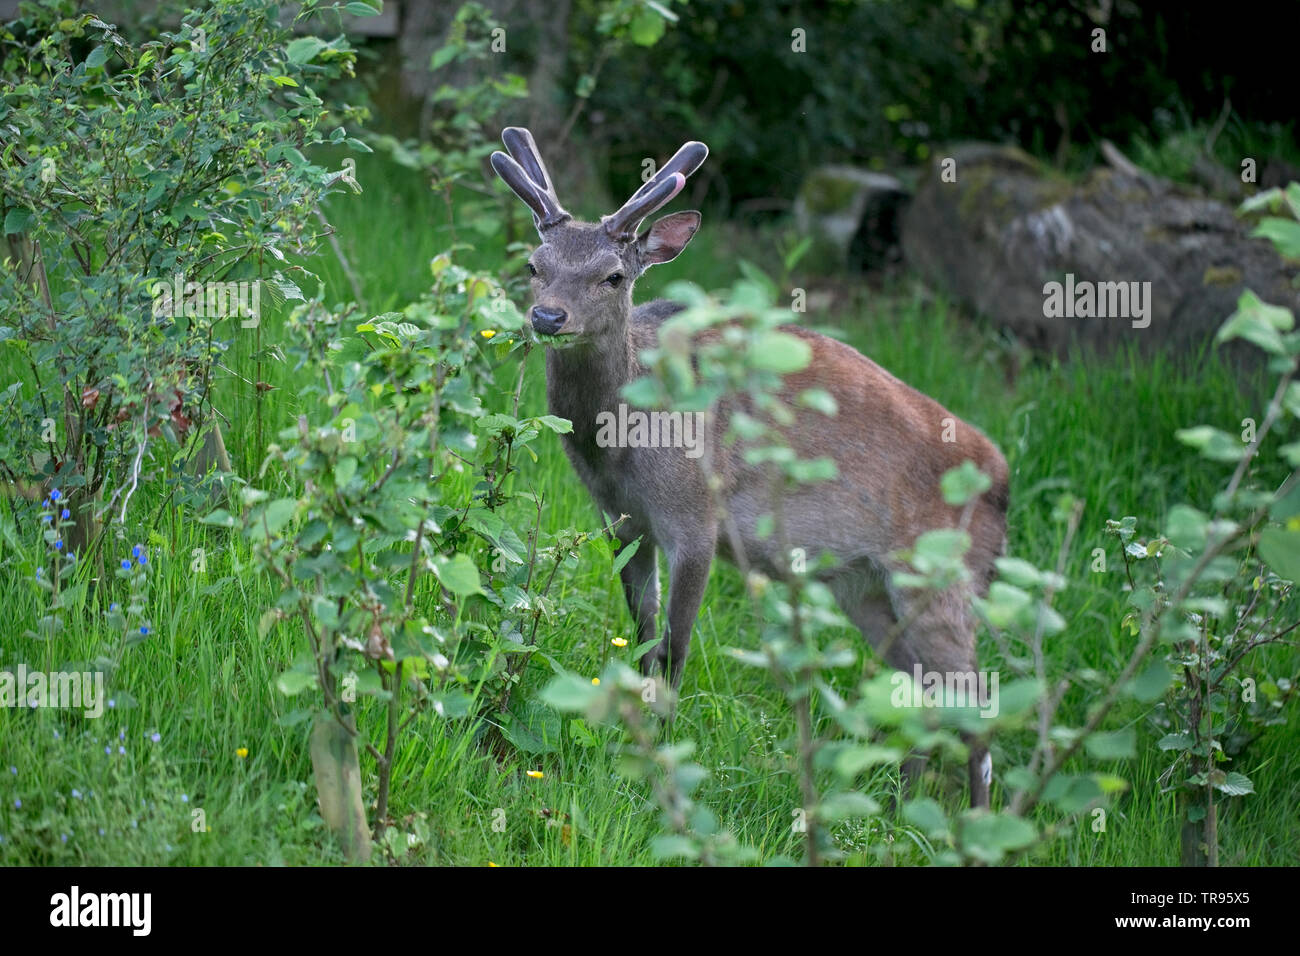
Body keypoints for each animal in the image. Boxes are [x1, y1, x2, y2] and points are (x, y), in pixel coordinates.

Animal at [490, 127, 1009, 808]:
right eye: (535, 265)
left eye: (613, 275)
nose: (548, 317)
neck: (624, 448)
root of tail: (1003, 481)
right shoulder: (623, 519)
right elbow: (642, 634)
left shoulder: (696, 515)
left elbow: (675, 647)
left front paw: (665, 754)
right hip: (868, 587)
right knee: (923, 692)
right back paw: (901, 806)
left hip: (944, 577)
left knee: (977, 704)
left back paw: (970, 820)